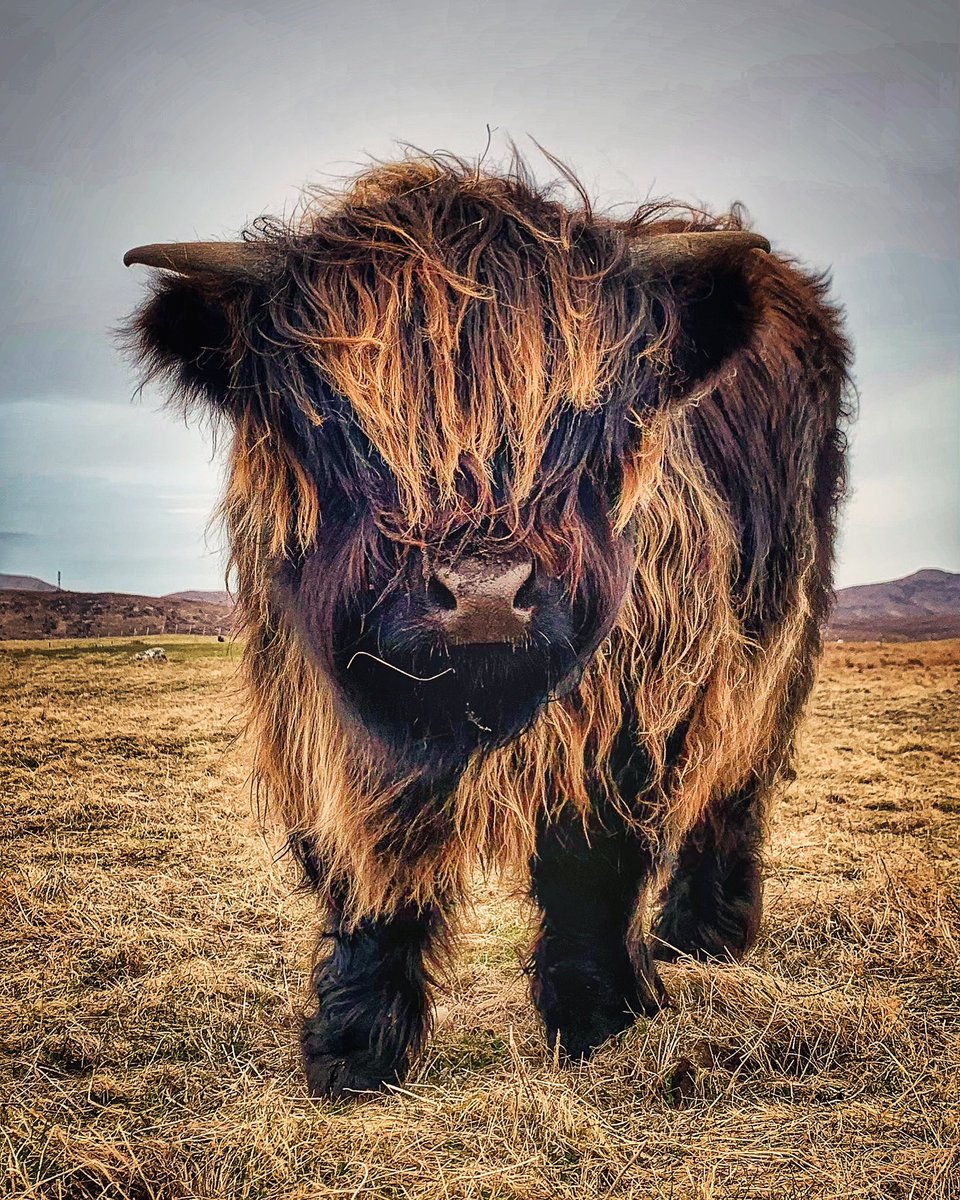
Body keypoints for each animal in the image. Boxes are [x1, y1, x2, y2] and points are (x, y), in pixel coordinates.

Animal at [123, 154, 849, 1099]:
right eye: (338, 415)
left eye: (582, 414)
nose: (482, 594)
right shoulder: (323, 724)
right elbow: (366, 878)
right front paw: (352, 1049)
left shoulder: (628, 711)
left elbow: (590, 862)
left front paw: (600, 1021)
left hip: (778, 648)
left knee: (736, 786)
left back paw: (705, 936)